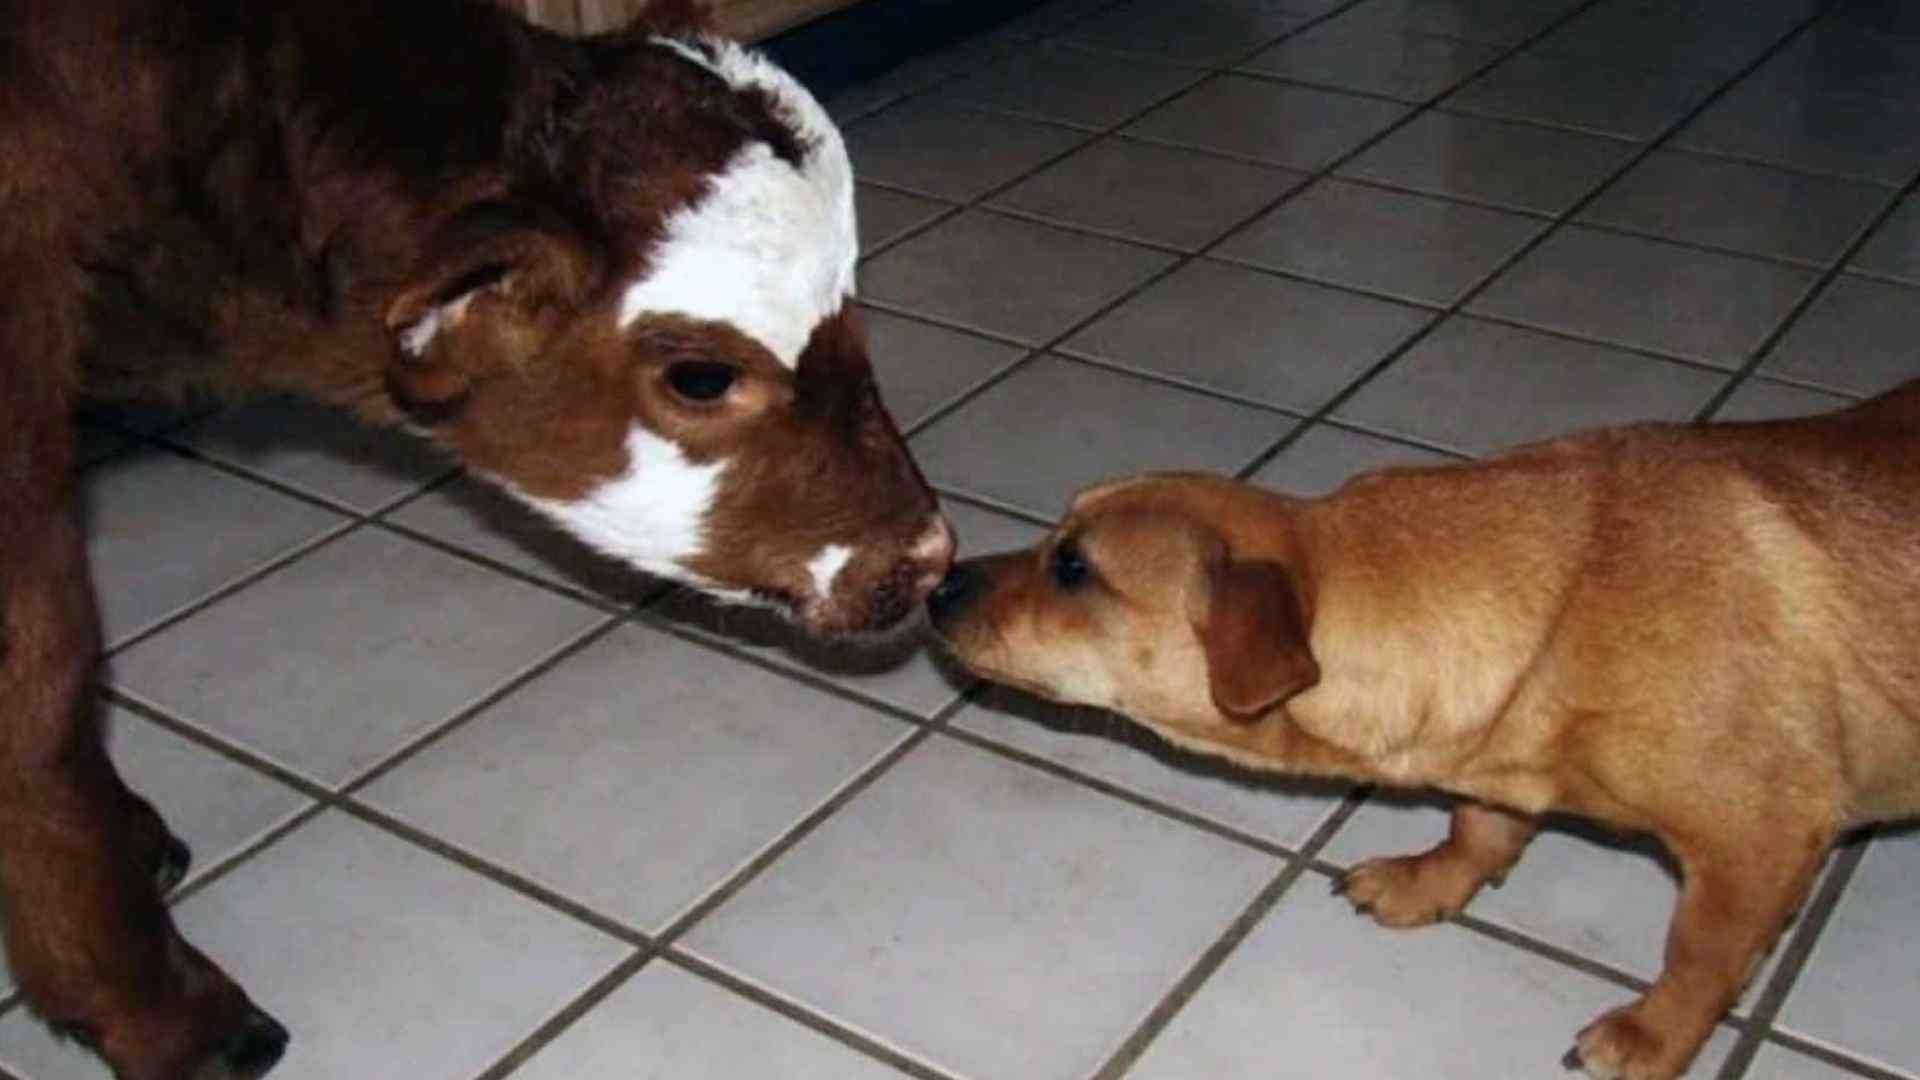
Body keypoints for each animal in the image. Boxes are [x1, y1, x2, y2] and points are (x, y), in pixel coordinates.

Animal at [929, 380, 1920, 1076]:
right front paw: (1434, 878)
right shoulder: (1501, 755)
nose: (938, 582)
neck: (1570, 606)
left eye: (1073, 568)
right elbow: (1479, 824)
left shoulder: (1757, 842)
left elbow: (1698, 955)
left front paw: (1653, 1034)